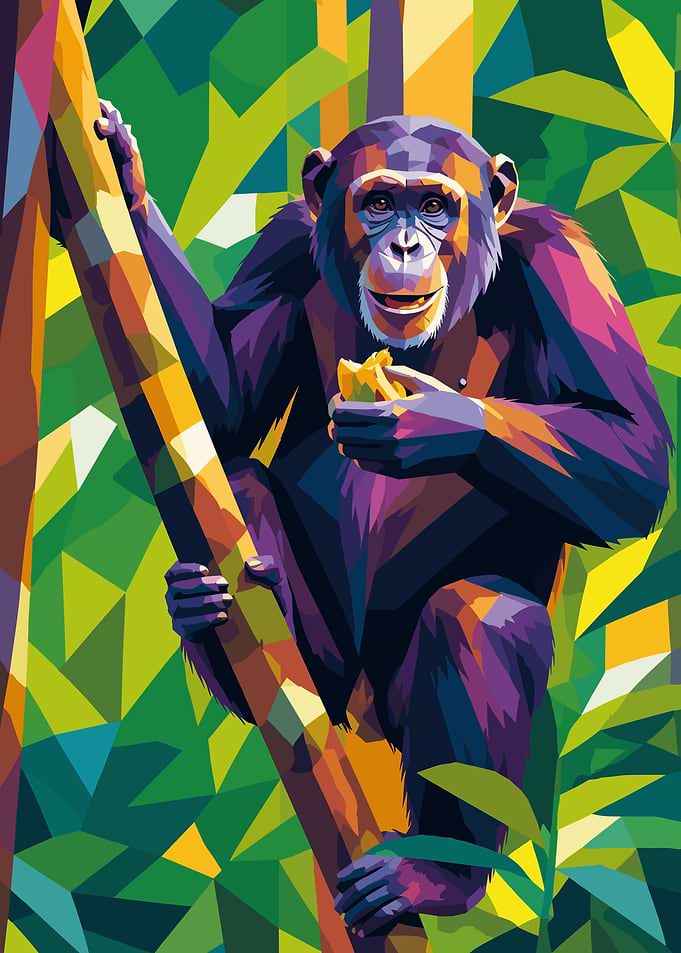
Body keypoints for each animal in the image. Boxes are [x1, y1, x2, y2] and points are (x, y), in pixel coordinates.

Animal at [97, 103, 671, 936]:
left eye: (433, 205)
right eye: (375, 203)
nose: (403, 243)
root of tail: (363, 721)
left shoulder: (562, 261)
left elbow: (632, 447)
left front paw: (430, 420)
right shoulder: (281, 247)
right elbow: (218, 406)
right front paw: (126, 176)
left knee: (482, 616)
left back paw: (436, 874)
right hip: (328, 675)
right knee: (240, 480)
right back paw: (204, 603)